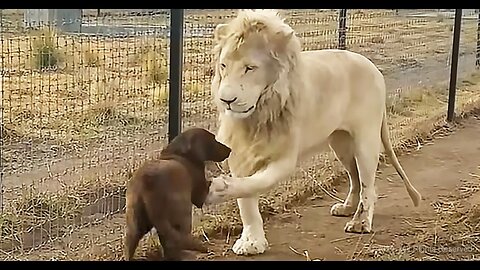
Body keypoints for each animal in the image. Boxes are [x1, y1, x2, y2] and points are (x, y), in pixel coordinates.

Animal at [124, 127, 232, 260]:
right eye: (213, 139)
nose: (230, 149)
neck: (181, 153)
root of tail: (147, 182)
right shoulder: (200, 195)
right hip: (183, 214)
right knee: (176, 240)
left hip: (136, 223)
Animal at [204, 9, 422, 256]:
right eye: (223, 66)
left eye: (250, 68)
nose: (226, 100)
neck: (259, 115)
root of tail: (373, 67)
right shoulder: (241, 153)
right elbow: (246, 201)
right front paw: (251, 241)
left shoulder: (284, 155)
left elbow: (257, 182)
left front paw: (219, 188)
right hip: (341, 144)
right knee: (355, 177)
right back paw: (347, 208)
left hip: (365, 140)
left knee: (368, 183)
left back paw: (360, 221)